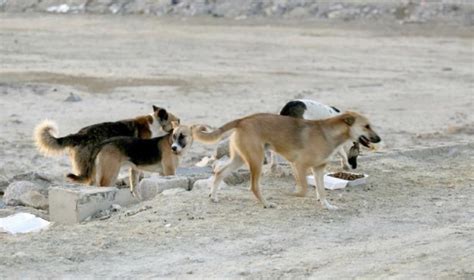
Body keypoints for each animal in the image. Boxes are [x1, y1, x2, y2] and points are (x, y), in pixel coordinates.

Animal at [193, 111, 382, 210]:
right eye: (366, 126)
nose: (379, 139)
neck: (328, 133)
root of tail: (243, 120)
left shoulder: (318, 169)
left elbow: (321, 191)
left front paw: (326, 205)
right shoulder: (299, 165)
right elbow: (304, 190)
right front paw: (292, 194)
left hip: (240, 159)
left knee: (219, 172)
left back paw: (213, 196)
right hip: (256, 161)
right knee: (253, 186)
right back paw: (266, 203)